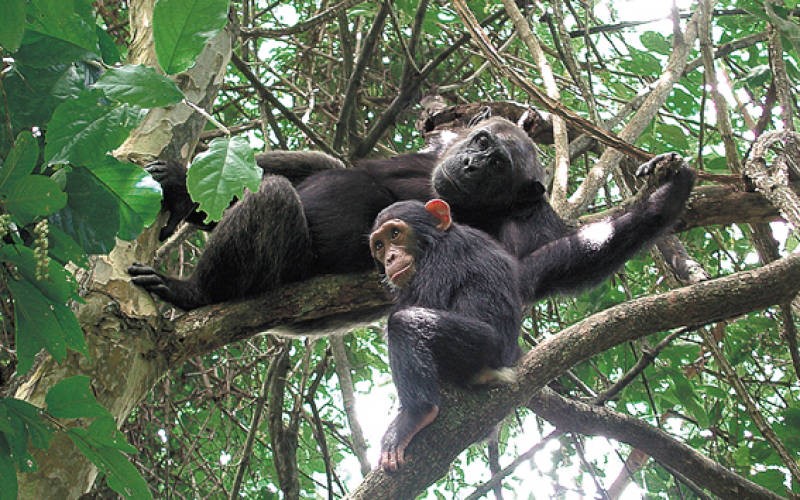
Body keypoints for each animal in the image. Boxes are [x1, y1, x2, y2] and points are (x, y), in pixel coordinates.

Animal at [128, 115, 692, 310]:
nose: (471, 162)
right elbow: (347, 167)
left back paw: (194, 293)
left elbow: (547, 262)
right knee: (313, 169)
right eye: (481, 142)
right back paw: (182, 195)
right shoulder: (430, 153)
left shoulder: (528, 228)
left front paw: (665, 198)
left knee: (275, 198)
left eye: (498, 164)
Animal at [372, 153, 692, 472]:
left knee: (405, 324)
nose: (389, 258)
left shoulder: (438, 265)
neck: (431, 243)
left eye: (396, 234)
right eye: (379, 245)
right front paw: (669, 194)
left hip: (484, 347)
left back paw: (416, 415)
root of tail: (508, 360)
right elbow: (569, 253)